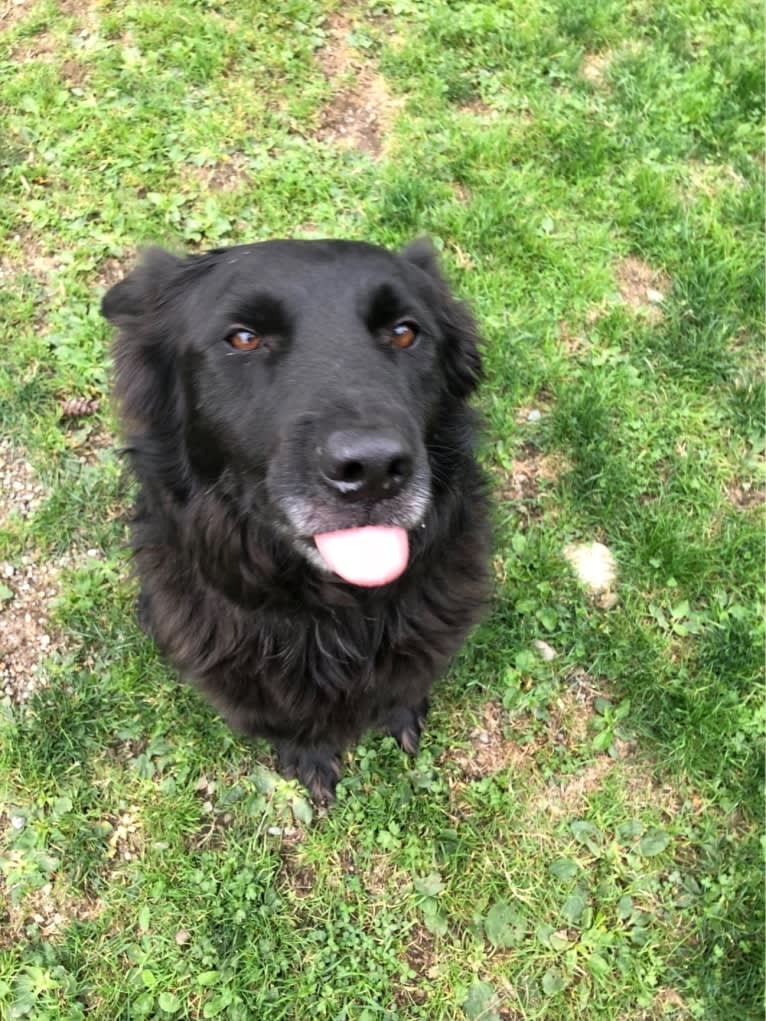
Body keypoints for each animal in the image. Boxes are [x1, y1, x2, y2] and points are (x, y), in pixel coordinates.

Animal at [103, 240, 492, 804]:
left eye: (404, 332)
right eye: (244, 338)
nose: (373, 469)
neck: (336, 613)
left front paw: (400, 709)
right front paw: (308, 752)